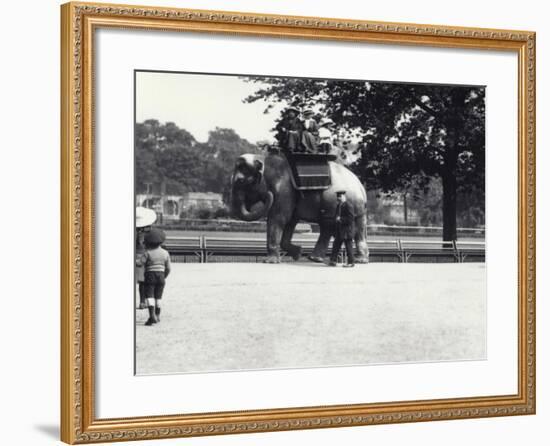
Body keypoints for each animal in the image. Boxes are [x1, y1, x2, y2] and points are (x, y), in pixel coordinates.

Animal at [231, 153, 368, 264]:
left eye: (240, 181)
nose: (268, 195)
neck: (264, 159)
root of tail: (361, 186)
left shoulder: (283, 190)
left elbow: (279, 218)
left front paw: (269, 261)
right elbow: (290, 221)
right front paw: (298, 253)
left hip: (335, 200)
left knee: (330, 225)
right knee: (348, 228)